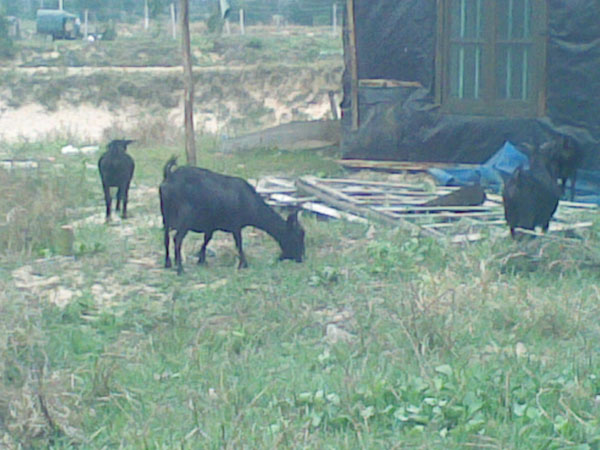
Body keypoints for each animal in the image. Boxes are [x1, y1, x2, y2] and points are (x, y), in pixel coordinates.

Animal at [159, 157, 305, 274]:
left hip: (166, 217)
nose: (301, 258)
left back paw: (168, 263)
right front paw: (243, 264)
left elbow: (206, 240)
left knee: (166, 238)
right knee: (177, 239)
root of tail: (170, 176)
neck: (249, 201)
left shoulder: (210, 226)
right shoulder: (236, 226)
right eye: (297, 236)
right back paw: (180, 269)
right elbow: (239, 244)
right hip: (185, 219)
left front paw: (201, 260)